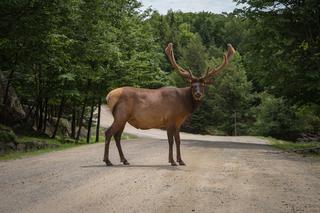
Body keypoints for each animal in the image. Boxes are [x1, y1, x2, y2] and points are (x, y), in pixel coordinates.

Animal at [104, 42, 235, 166]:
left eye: (203, 85)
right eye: (192, 85)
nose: (198, 94)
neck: (184, 105)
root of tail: (109, 96)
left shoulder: (178, 122)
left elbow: (178, 140)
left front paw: (181, 161)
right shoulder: (169, 119)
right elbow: (170, 141)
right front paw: (172, 161)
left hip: (123, 118)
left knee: (117, 136)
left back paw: (124, 160)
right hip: (121, 114)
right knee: (109, 133)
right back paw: (107, 161)